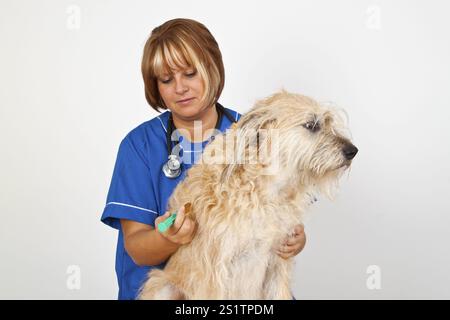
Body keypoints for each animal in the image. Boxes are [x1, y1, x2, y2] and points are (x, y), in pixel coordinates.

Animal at [139, 90, 356, 300]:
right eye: (311, 125)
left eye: (329, 123)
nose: (353, 151)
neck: (264, 190)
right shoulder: (214, 273)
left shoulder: (278, 264)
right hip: (161, 284)